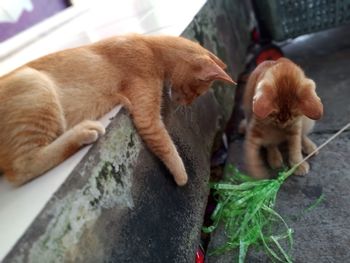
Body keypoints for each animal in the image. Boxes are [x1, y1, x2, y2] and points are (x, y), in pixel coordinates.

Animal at [1, 34, 235, 187]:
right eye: (196, 92)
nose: (185, 103)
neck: (150, 46)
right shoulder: (146, 116)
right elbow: (166, 145)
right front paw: (182, 176)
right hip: (34, 85)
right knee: (21, 168)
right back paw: (84, 131)